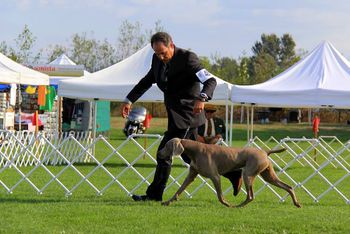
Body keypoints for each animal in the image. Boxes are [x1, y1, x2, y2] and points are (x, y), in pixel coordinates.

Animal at [160, 138, 302, 207]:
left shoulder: (215, 176)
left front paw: (227, 204)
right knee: (288, 187)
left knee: (250, 196)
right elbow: (179, 190)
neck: (195, 151)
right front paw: (168, 202)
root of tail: (265, 152)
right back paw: (297, 203)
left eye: (166, 146)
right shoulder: (191, 175)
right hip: (268, 176)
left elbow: (220, 196)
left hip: (247, 174)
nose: (159, 153)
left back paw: (238, 206)